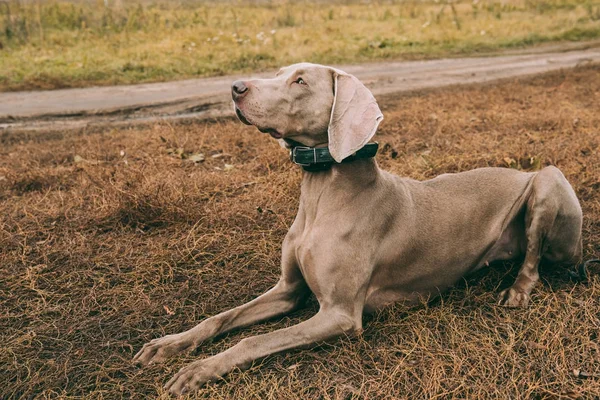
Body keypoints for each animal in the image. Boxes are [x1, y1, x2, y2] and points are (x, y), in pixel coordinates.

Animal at [135, 62, 584, 394]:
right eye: (281, 72)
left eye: (300, 81)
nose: (235, 88)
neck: (321, 194)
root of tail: (522, 171)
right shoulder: (287, 290)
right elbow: (222, 318)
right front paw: (169, 345)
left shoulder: (339, 315)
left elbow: (253, 339)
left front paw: (199, 370)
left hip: (548, 180)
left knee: (534, 258)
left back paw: (517, 291)